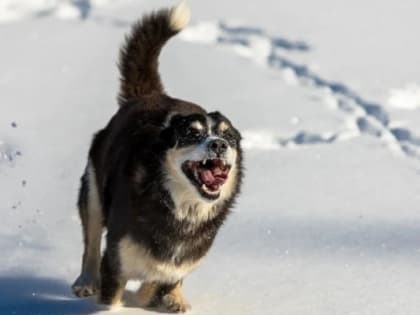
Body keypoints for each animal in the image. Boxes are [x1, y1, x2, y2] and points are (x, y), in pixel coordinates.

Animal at [72, 1, 243, 314]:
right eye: (191, 134)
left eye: (230, 137)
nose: (219, 145)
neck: (181, 209)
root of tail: (148, 96)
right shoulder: (116, 261)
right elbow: (114, 293)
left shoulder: (180, 261)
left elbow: (159, 280)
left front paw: (158, 297)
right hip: (93, 190)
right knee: (90, 240)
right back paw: (86, 280)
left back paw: (175, 298)